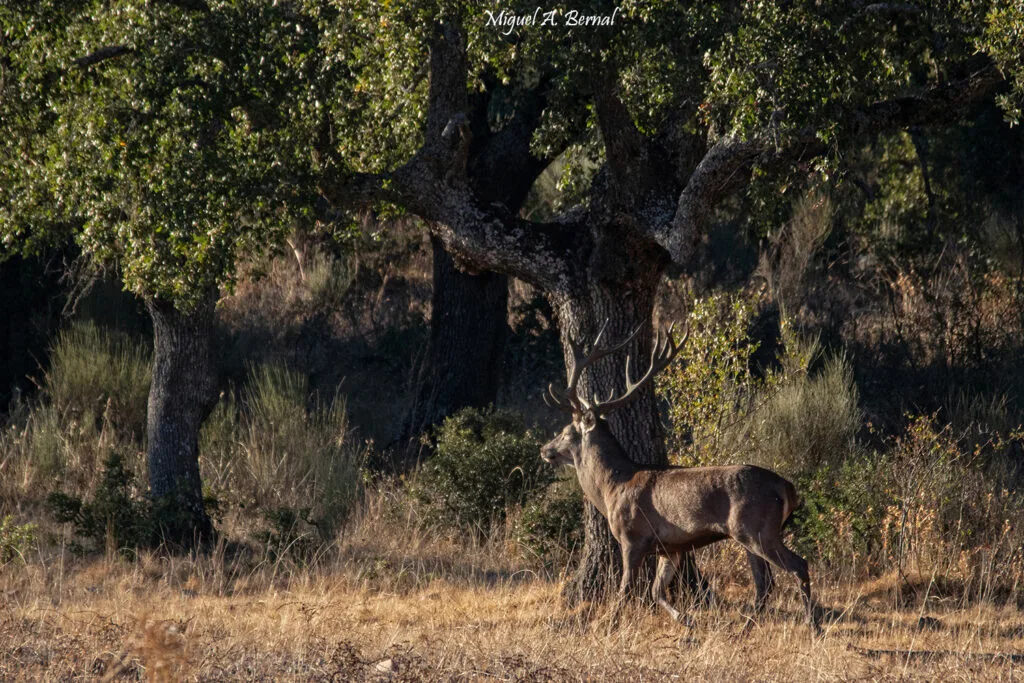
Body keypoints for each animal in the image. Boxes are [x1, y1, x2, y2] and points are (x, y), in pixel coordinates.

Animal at [541, 321, 819, 631]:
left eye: (566, 432)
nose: (545, 450)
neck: (612, 487)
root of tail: (787, 488)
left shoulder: (632, 537)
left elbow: (625, 590)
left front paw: (607, 625)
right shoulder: (670, 547)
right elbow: (656, 590)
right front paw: (686, 620)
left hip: (757, 528)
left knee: (798, 566)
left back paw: (812, 625)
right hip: (750, 534)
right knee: (765, 583)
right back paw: (745, 626)